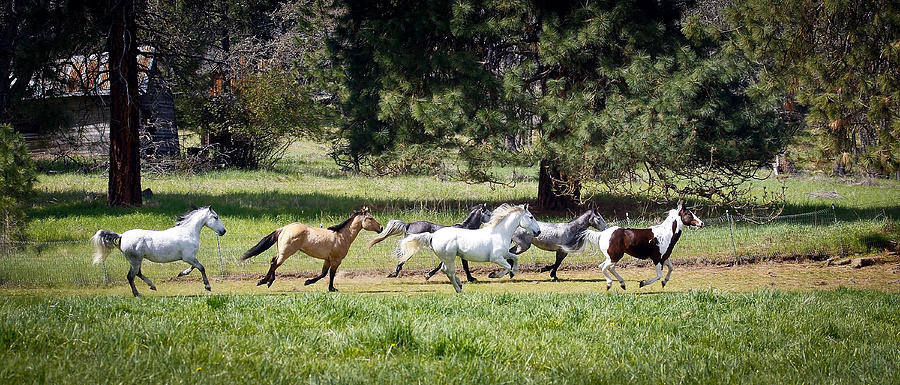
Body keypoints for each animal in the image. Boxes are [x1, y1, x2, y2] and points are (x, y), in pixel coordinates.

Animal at [89, 206, 227, 296]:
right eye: (216, 217)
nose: (223, 231)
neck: (188, 232)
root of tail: (122, 235)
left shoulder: (189, 257)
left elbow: (194, 267)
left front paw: (181, 273)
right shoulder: (188, 257)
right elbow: (201, 267)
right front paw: (207, 286)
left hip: (136, 260)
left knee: (137, 274)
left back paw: (152, 286)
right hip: (135, 260)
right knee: (130, 276)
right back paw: (137, 293)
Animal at [241, 207, 382, 292]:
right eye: (370, 218)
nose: (380, 227)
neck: (342, 236)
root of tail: (283, 228)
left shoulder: (328, 259)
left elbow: (323, 273)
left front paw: (308, 282)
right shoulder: (336, 260)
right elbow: (331, 274)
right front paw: (331, 288)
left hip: (281, 252)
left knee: (273, 261)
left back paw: (269, 282)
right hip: (286, 253)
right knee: (275, 263)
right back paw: (264, 281)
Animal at [396, 204, 536, 292]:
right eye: (531, 217)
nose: (538, 231)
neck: (499, 233)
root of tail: (433, 235)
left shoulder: (505, 253)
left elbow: (515, 258)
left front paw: (513, 272)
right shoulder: (496, 258)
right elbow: (507, 266)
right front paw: (493, 275)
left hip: (447, 258)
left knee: (444, 269)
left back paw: (458, 284)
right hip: (450, 258)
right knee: (449, 272)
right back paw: (458, 288)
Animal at [424, 208, 608, 280]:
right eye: (599, 218)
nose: (606, 228)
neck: (571, 229)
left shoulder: (561, 251)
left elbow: (557, 263)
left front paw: (548, 272)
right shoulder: (562, 251)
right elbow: (557, 263)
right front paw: (549, 272)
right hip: (523, 246)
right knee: (512, 255)